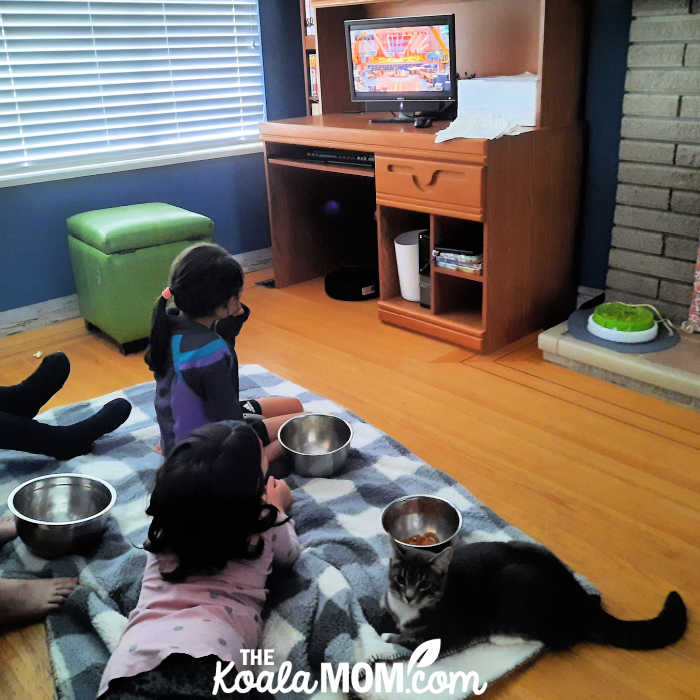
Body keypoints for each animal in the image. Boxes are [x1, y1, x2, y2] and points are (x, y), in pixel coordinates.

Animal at [382, 540, 684, 652]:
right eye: (400, 579)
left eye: (424, 585)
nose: (409, 596)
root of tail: (578, 599)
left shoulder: (449, 632)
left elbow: (414, 641)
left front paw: (388, 637)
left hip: (515, 585)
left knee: (558, 639)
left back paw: (501, 637)